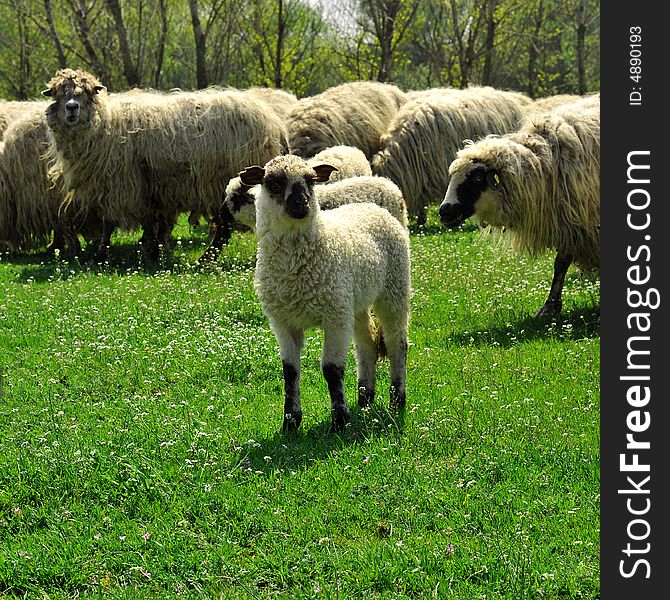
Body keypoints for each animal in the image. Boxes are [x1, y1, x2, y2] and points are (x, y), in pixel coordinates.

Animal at [42, 68, 288, 260]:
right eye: (58, 94)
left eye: (87, 93)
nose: (72, 108)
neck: (106, 125)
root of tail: (274, 124)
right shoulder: (146, 187)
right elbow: (149, 221)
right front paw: (153, 250)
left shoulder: (121, 184)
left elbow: (109, 223)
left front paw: (102, 255)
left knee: (226, 227)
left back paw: (206, 258)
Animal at [239, 156, 412, 432]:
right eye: (273, 183)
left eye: (311, 181)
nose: (302, 203)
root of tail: (374, 207)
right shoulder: (282, 321)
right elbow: (290, 371)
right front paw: (290, 422)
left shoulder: (335, 317)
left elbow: (332, 369)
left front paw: (339, 422)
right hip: (354, 302)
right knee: (366, 346)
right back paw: (365, 398)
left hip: (393, 289)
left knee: (397, 343)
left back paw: (397, 399)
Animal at [438, 94, 600, 316]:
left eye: (477, 178)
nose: (444, 211)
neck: (543, 166)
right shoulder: (572, 224)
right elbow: (560, 264)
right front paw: (550, 306)